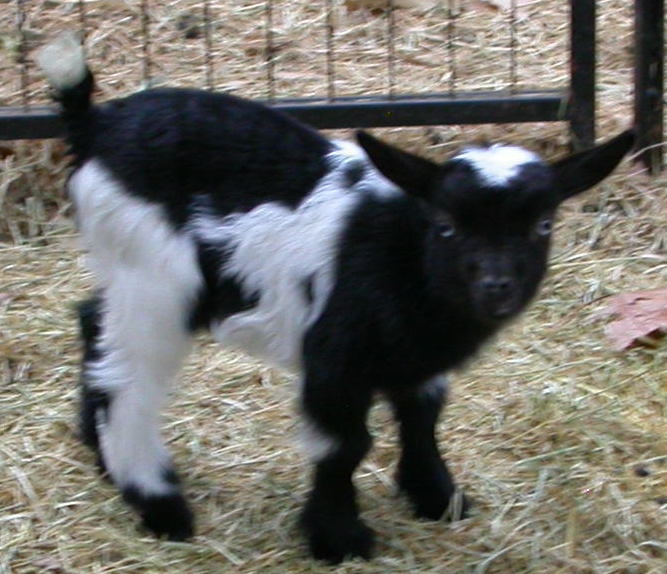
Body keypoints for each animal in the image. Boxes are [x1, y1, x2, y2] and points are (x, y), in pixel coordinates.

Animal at [38, 32, 633, 563]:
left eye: (543, 224)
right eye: (445, 225)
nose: (496, 286)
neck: (404, 254)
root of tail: (96, 124)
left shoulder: (416, 360)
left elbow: (422, 419)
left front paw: (438, 496)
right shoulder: (335, 356)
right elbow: (343, 446)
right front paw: (338, 537)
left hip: (129, 271)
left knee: (93, 324)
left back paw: (97, 445)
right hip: (158, 279)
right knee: (128, 381)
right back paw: (159, 504)